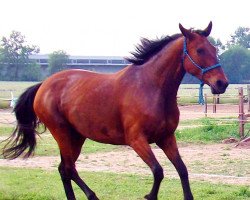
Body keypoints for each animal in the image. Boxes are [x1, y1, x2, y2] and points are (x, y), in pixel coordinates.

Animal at [2, 21, 229, 200]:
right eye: (200, 50)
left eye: (214, 49)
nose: (222, 83)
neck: (151, 87)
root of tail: (44, 85)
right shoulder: (137, 140)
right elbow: (158, 171)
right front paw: (149, 196)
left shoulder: (166, 138)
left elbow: (182, 170)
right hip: (63, 135)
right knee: (67, 169)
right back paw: (92, 195)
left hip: (77, 137)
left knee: (64, 168)